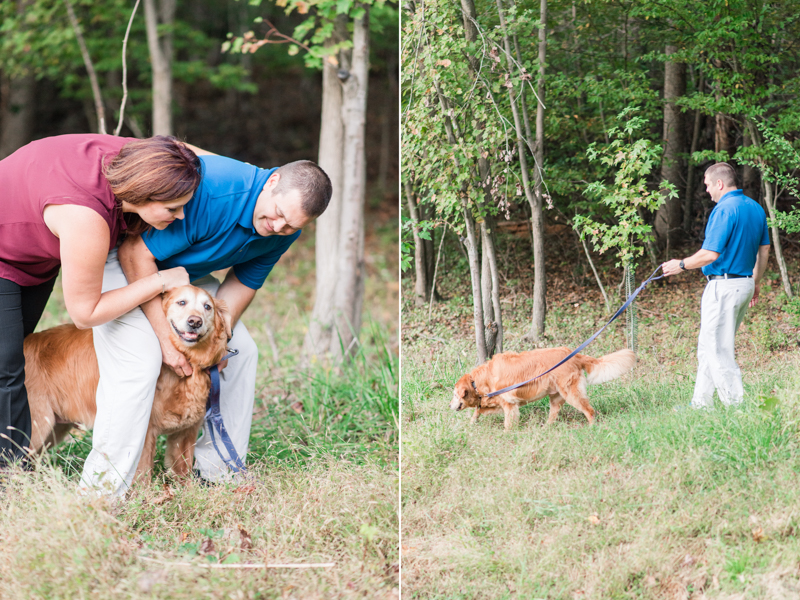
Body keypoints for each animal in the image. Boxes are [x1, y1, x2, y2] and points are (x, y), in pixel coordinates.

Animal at [24, 284, 228, 480]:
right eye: (181, 302)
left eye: (207, 307)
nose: (195, 321)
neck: (188, 364)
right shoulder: (143, 431)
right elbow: (142, 474)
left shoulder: (186, 433)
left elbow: (183, 471)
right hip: (38, 427)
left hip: (53, 429)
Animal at [454, 350, 636, 428]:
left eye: (455, 395)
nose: (450, 406)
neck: (477, 381)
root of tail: (574, 355)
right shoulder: (499, 401)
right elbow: (478, 409)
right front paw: (472, 423)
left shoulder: (509, 404)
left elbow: (507, 422)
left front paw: (506, 433)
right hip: (556, 395)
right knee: (553, 414)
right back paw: (546, 428)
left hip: (571, 393)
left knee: (589, 411)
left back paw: (592, 427)